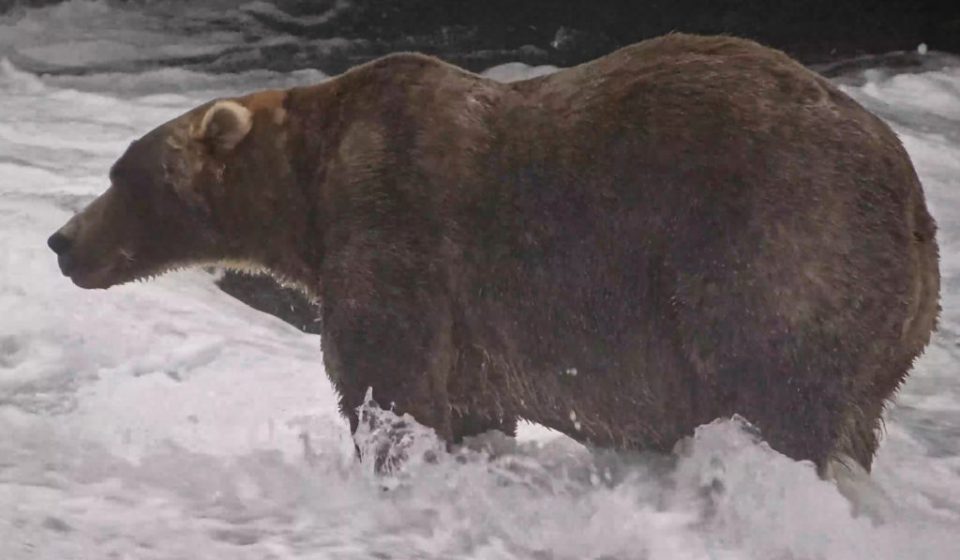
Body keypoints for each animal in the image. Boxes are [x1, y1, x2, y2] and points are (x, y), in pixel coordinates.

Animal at [48, 33, 939, 474]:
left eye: (122, 175)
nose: (62, 241)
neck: (307, 189)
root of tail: (913, 198)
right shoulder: (474, 325)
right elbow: (470, 402)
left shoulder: (396, 222)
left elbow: (386, 379)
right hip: (891, 329)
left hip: (775, 245)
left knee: (775, 389)